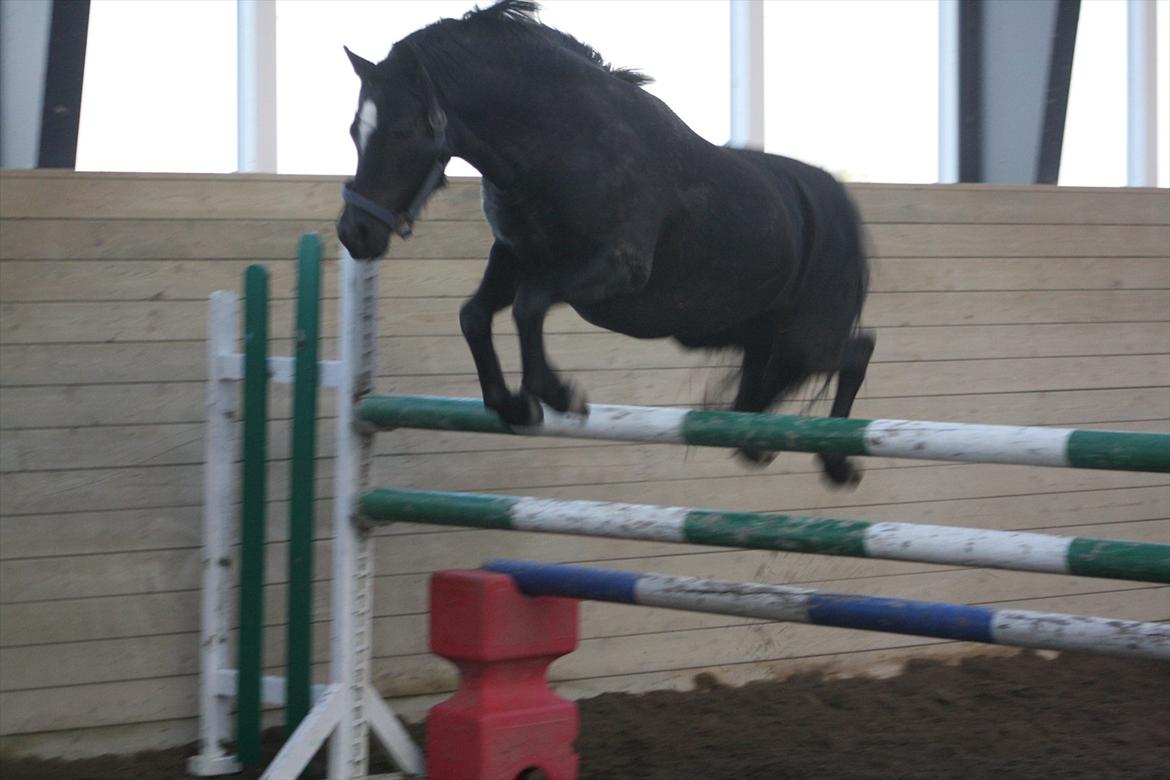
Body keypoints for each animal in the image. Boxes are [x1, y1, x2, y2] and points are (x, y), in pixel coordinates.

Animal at [336, 0, 874, 486]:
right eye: (355, 129)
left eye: (402, 130)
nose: (353, 233)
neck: (561, 144)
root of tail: (839, 207)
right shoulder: (514, 257)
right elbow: (474, 315)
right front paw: (513, 405)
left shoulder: (614, 268)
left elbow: (528, 307)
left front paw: (556, 393)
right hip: (740, 333)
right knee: (760, 392)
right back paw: (758, 445)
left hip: (804, 340)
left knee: (857, 352)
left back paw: (838, 463)